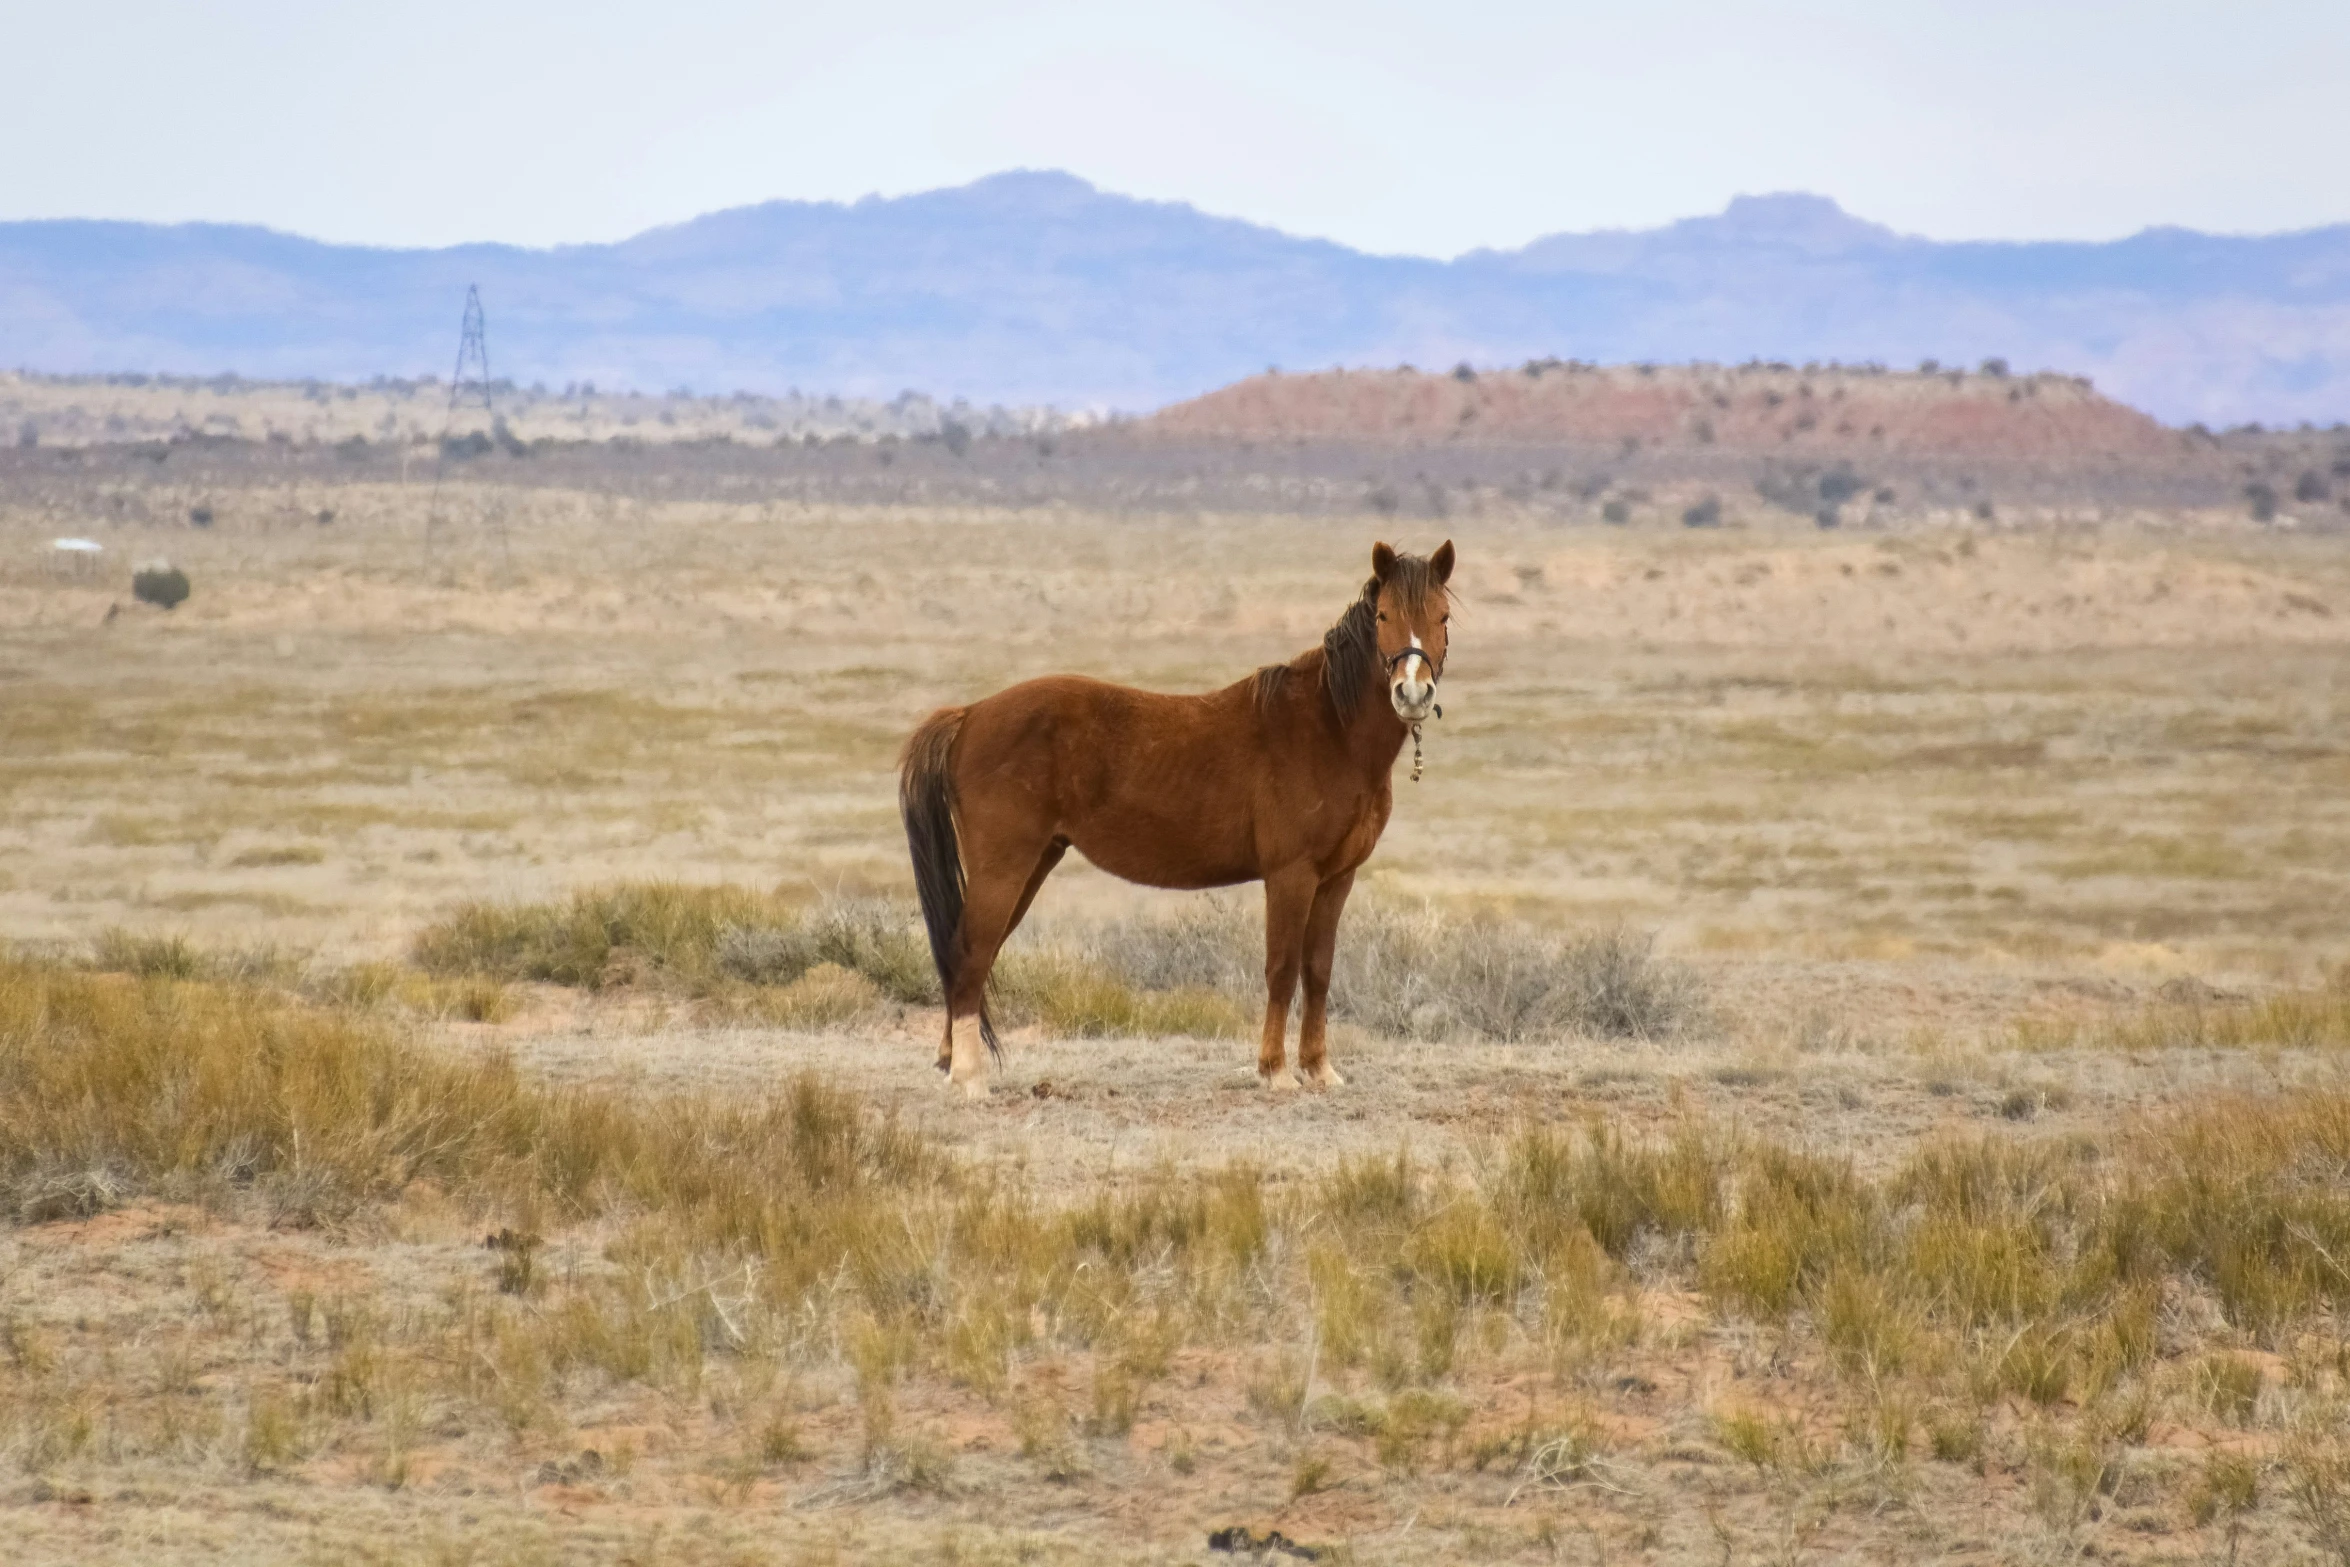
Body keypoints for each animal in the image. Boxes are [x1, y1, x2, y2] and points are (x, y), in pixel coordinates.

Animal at [897, 545, 1447, 1099]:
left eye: (1442, 617)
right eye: (1384, 616)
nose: (1412, 693)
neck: (1328, 729)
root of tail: (969, 714)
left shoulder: (1337, 878)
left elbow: (1318, 970)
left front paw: (1319, 1068)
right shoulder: (1290, 875)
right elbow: (1282, 968)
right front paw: (1275, 1071)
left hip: (1032, 865)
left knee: (973, 954)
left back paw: (950, 1059)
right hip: (1004, 868)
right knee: (971, 952)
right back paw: (969, 1076)